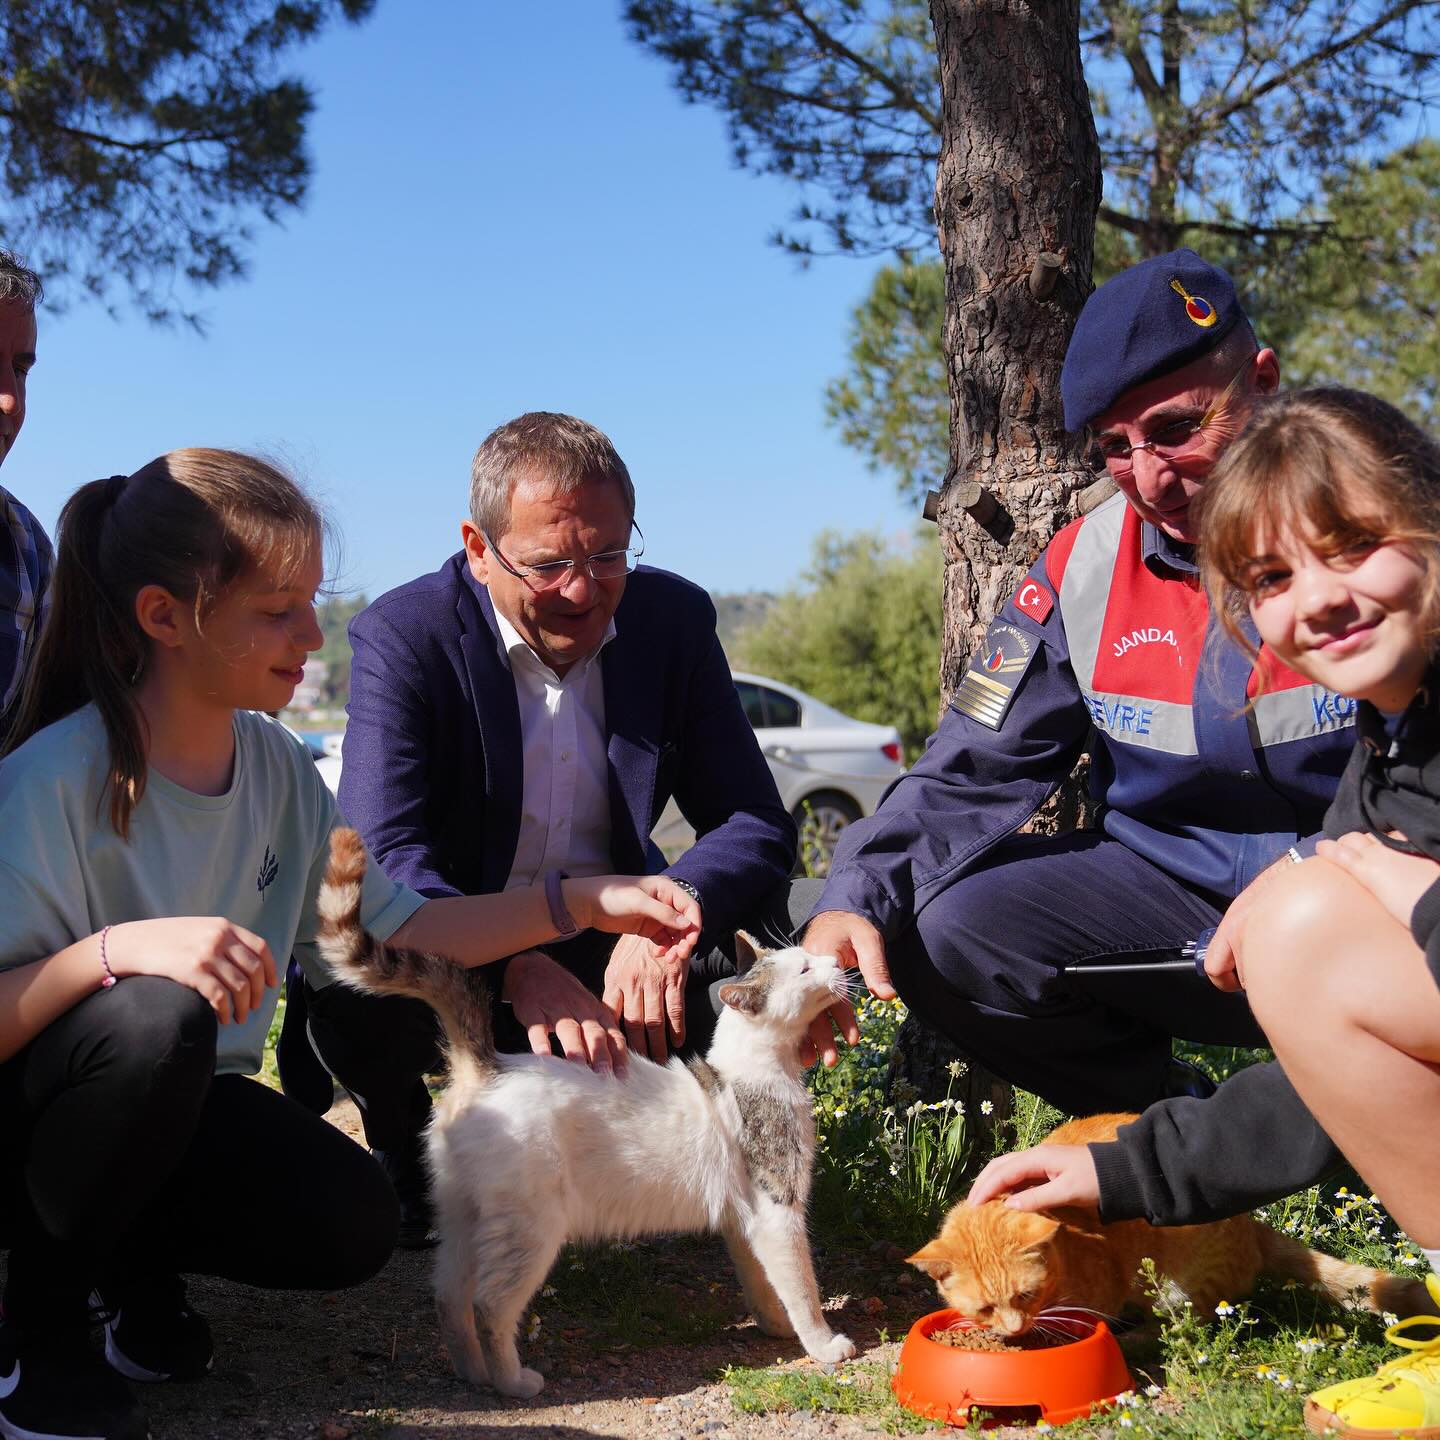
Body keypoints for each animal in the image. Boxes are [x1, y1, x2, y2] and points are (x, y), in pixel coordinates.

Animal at [318, 829, 852, 1399]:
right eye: (804, 968)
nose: (833, 961)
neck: (751, 1070)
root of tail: (486, 1065)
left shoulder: (744, 1217)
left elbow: (762, 1283)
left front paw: (775, 1325)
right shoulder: (779, 1209)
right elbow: (802, 1288)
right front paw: (822, 1345)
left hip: (464, 1216)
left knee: (448, 1296)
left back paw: (473, 1374)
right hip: (531, 1228)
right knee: (489, 1306)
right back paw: (512, 1382)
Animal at [904, 1111, 1422, 1336]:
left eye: (1025, 1296)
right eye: (985, 1308)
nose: (1012, 1331)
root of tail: (1251, 1223)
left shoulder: (1102, 1290)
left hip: (1181, 1286)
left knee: (1188, 1323)